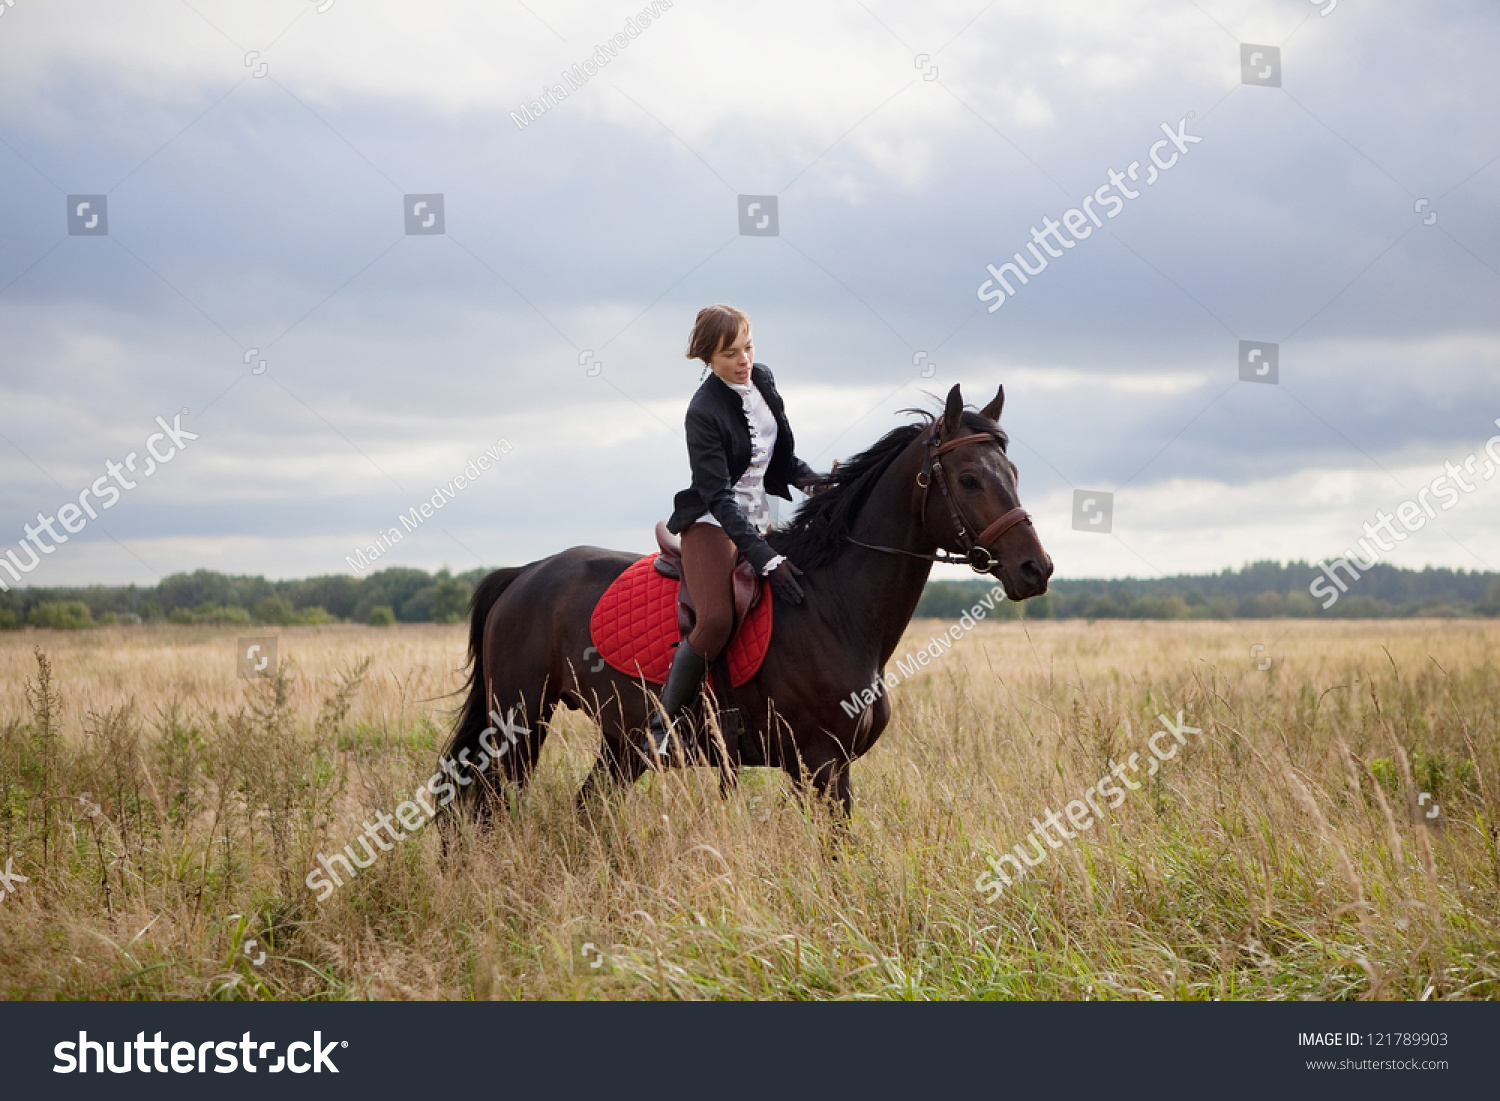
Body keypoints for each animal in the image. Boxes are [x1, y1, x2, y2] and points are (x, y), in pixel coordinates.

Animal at [438, 384, 1056, 822]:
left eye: (1012, 472)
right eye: (970, 478)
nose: (1037, 569)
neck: (835, 607)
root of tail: (525, 574)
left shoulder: (825, 769)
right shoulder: (821, 764)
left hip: (619, 744)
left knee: (583, 808)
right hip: (519, 724)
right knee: (479, 806)